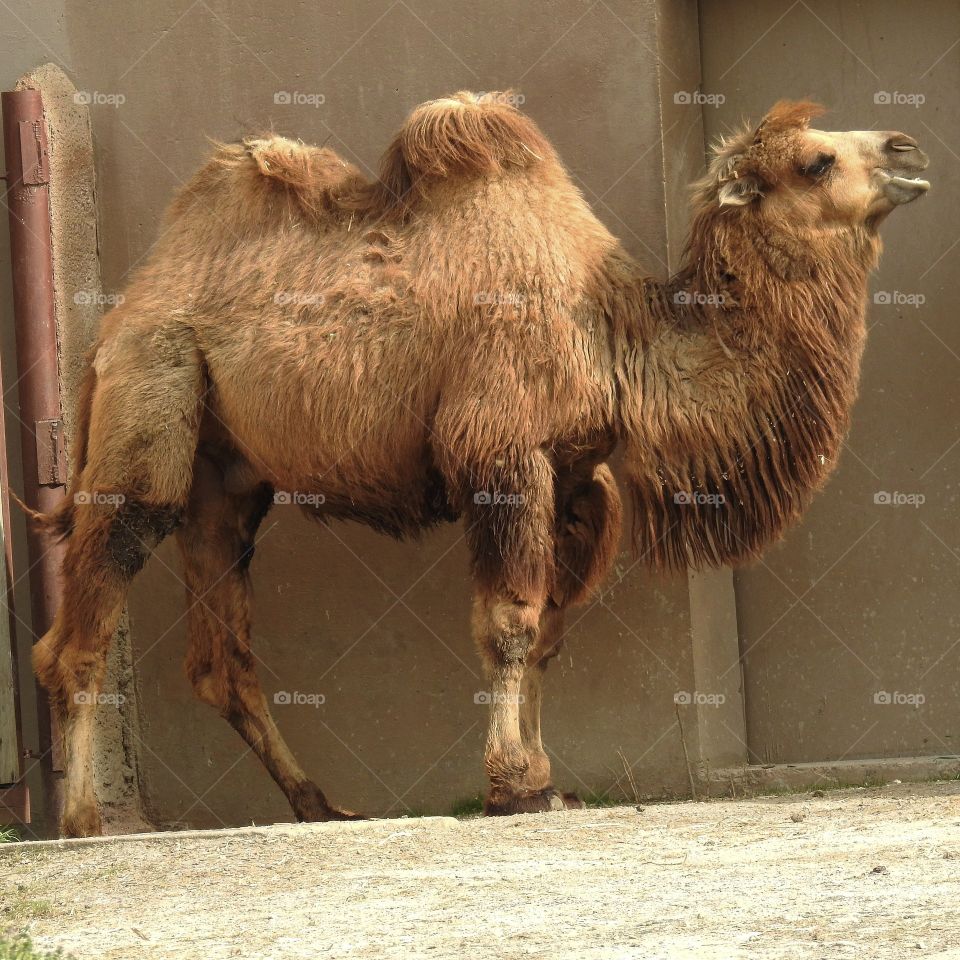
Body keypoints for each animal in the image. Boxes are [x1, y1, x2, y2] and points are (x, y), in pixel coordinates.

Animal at [28, 92, 929, 838]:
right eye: (816, 161)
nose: (909, 146)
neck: (617, 340)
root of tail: (118, 318)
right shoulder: (503, 450)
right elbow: (509, 623)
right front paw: (514, 784)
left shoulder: (574, 480)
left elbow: (550, 632)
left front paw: (548, 779)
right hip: (152, 399)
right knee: (89, 609)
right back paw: (86, 820)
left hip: (228, 481)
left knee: (222, 658)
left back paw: (321, 806)